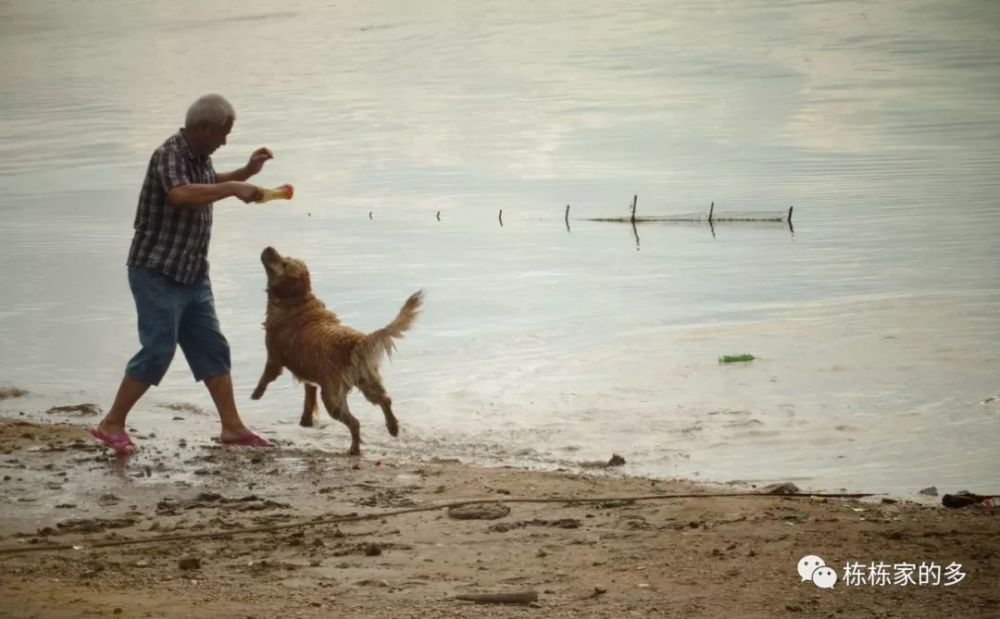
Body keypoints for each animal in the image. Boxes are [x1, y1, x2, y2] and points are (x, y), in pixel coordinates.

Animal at [254, 247, 422, 456]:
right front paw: (306, 420)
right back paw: (393, 427)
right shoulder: (309, 374)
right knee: (385, 400)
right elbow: (309, 395)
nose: (268, 248)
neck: (297, 301)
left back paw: (354, 448)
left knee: (355, 422)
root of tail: (356, 341)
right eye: (286, 257)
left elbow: (266, 376)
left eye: (284, 263)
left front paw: (256, 394)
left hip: (333, 398)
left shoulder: (274, 356)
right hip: (368, 381)